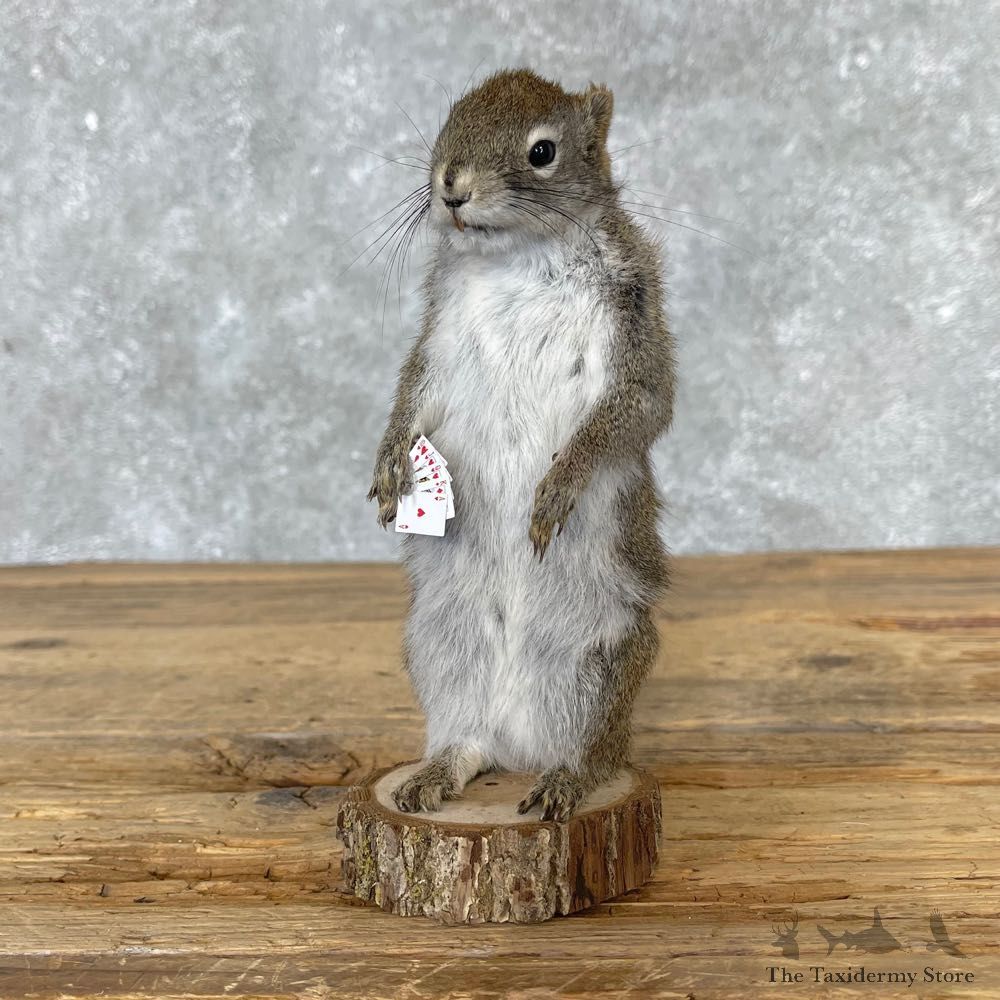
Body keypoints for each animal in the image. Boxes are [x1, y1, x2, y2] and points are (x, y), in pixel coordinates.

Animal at [367, 69, 675, 821]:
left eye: (543, 152)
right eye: (451, 118)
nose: (450, 184)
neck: (515, 257)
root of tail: (519, 743)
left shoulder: (633, 320)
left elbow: (635, 411)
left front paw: (560, 485)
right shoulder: (439, 340)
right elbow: (410, 396)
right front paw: (389, 466)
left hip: (604, 660)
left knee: (593, 752)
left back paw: (567, 780)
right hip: (441, 650)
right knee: (468, 740)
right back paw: (438, 769)